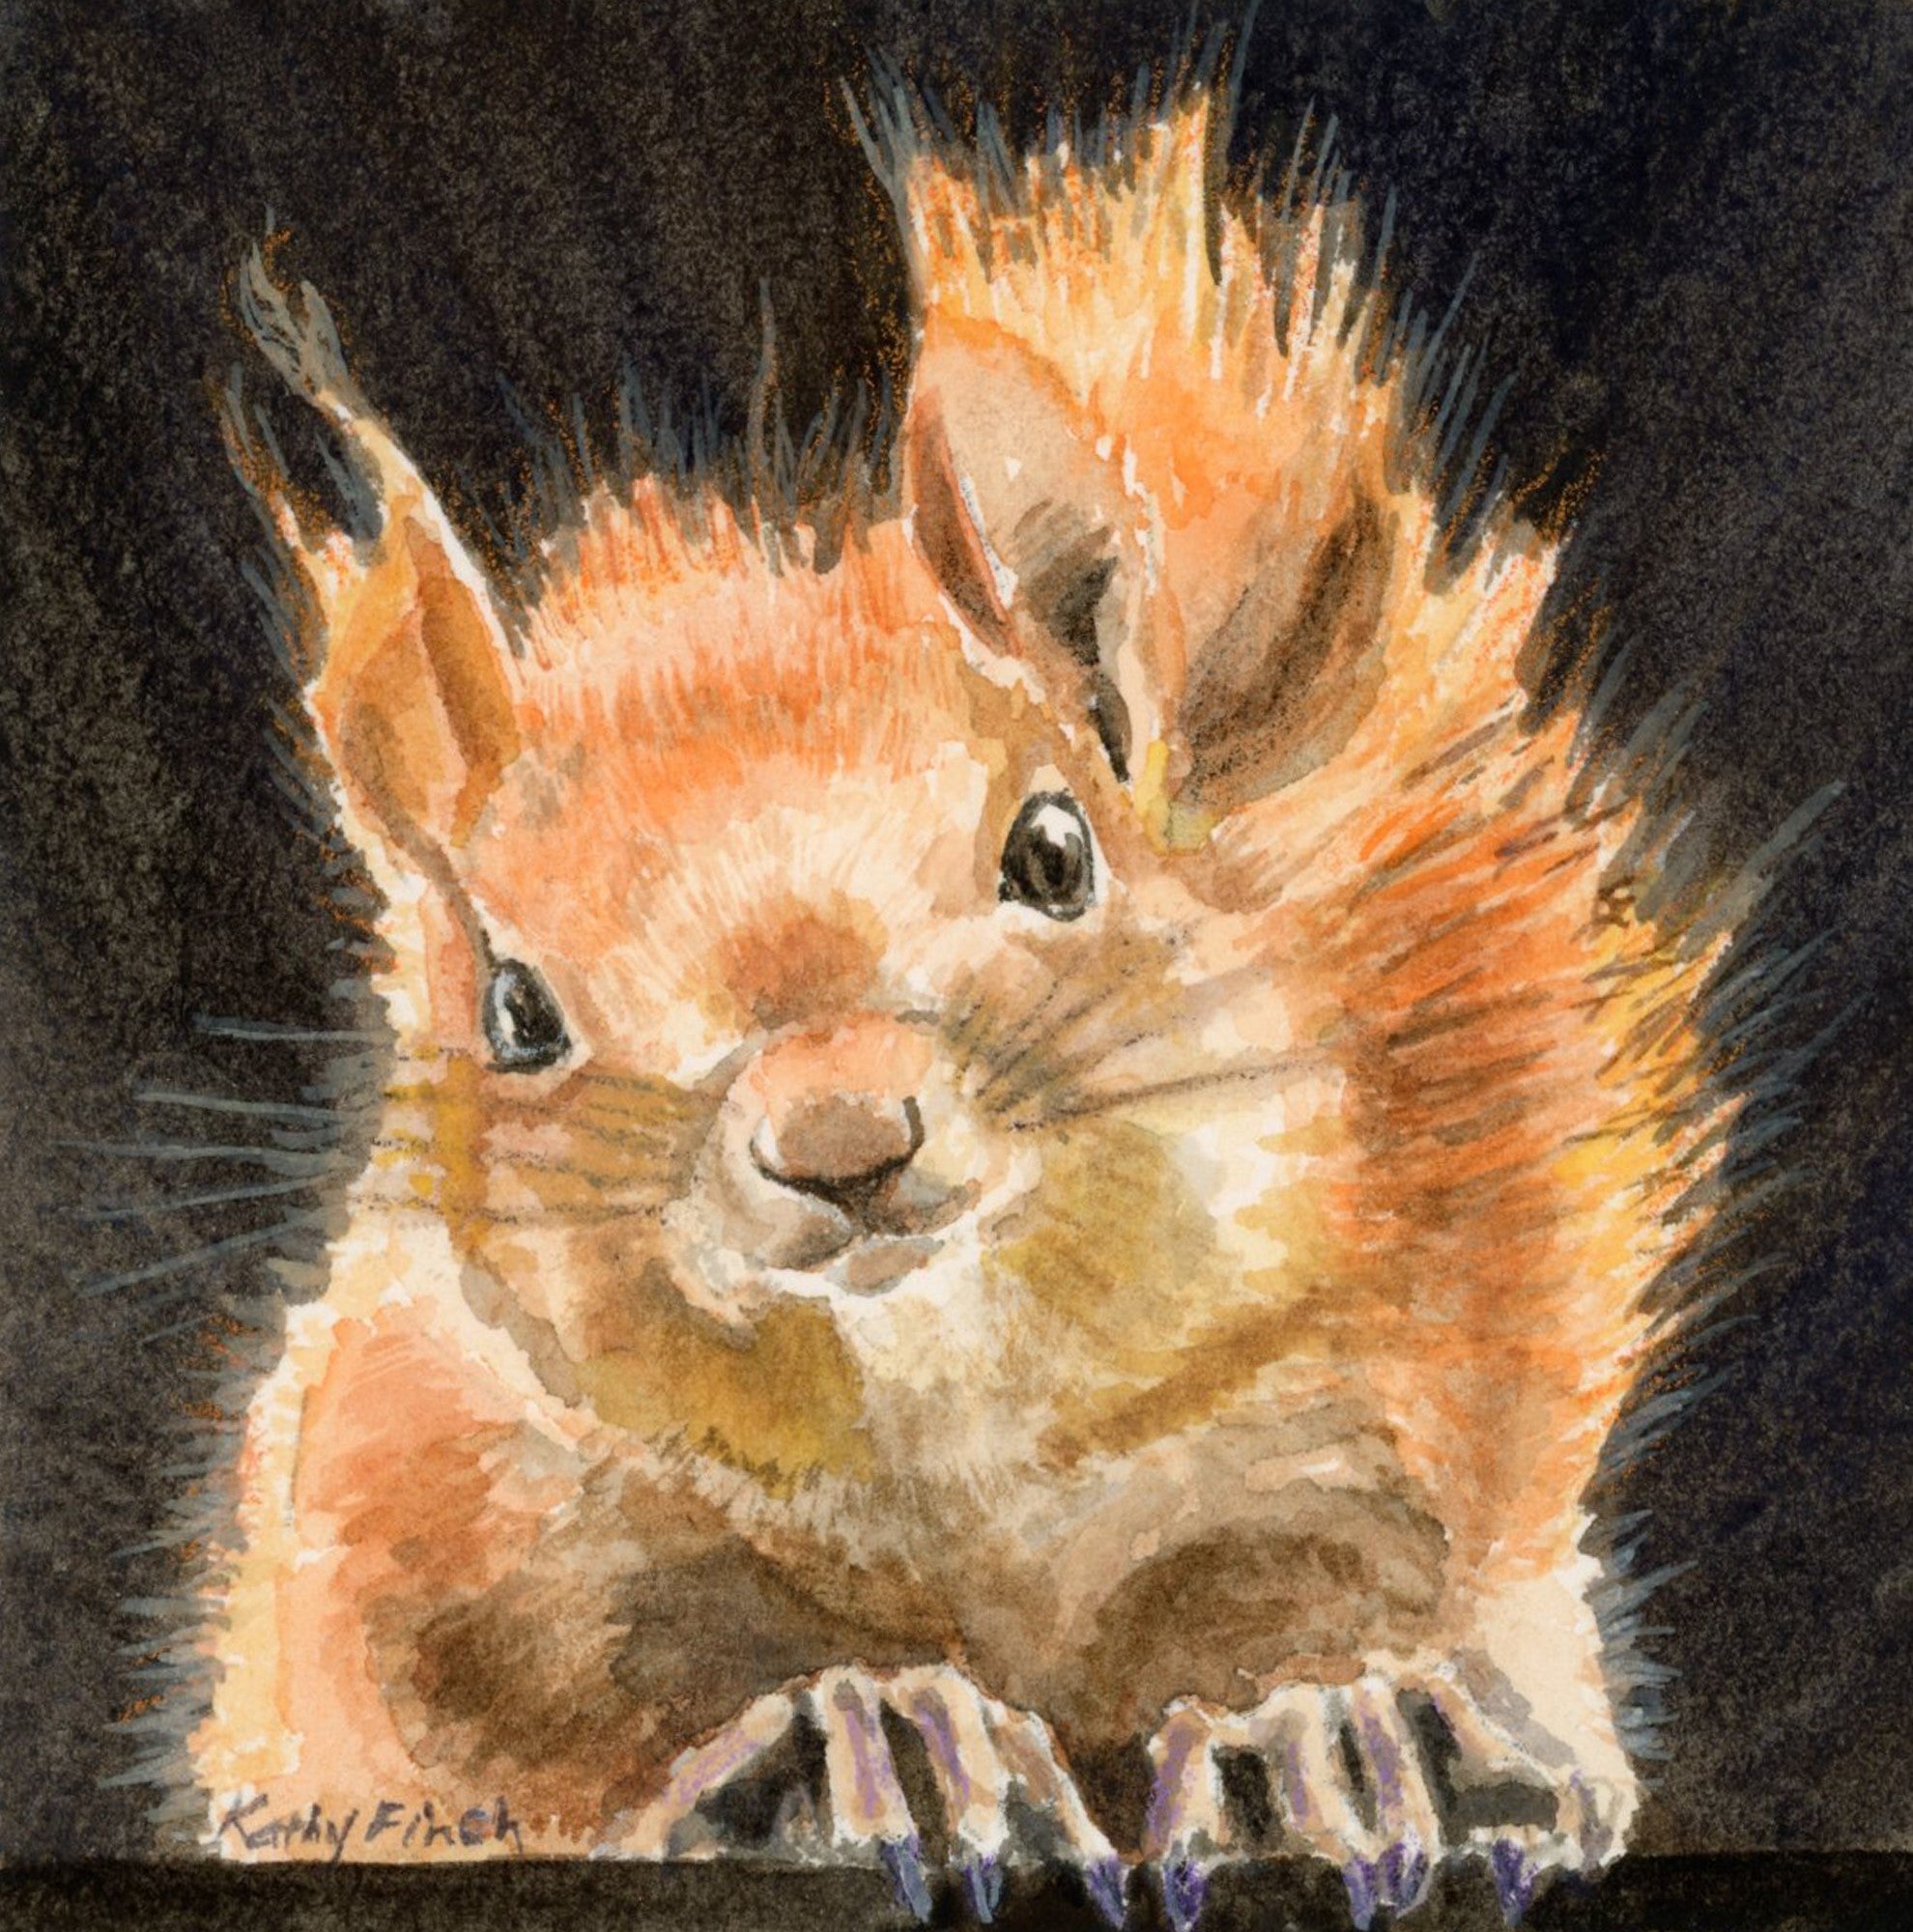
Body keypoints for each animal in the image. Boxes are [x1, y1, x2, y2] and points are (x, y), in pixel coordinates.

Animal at [186, 74, 1733, 1932]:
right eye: (515, 1012)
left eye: (1057, 852)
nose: (842, 1136)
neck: (945, 1434)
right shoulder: (400, 1515)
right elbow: (477, 1751)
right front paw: (854, 1744)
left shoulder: (1404, 1386)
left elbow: (1343, 1585)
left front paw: (1337, 1732)